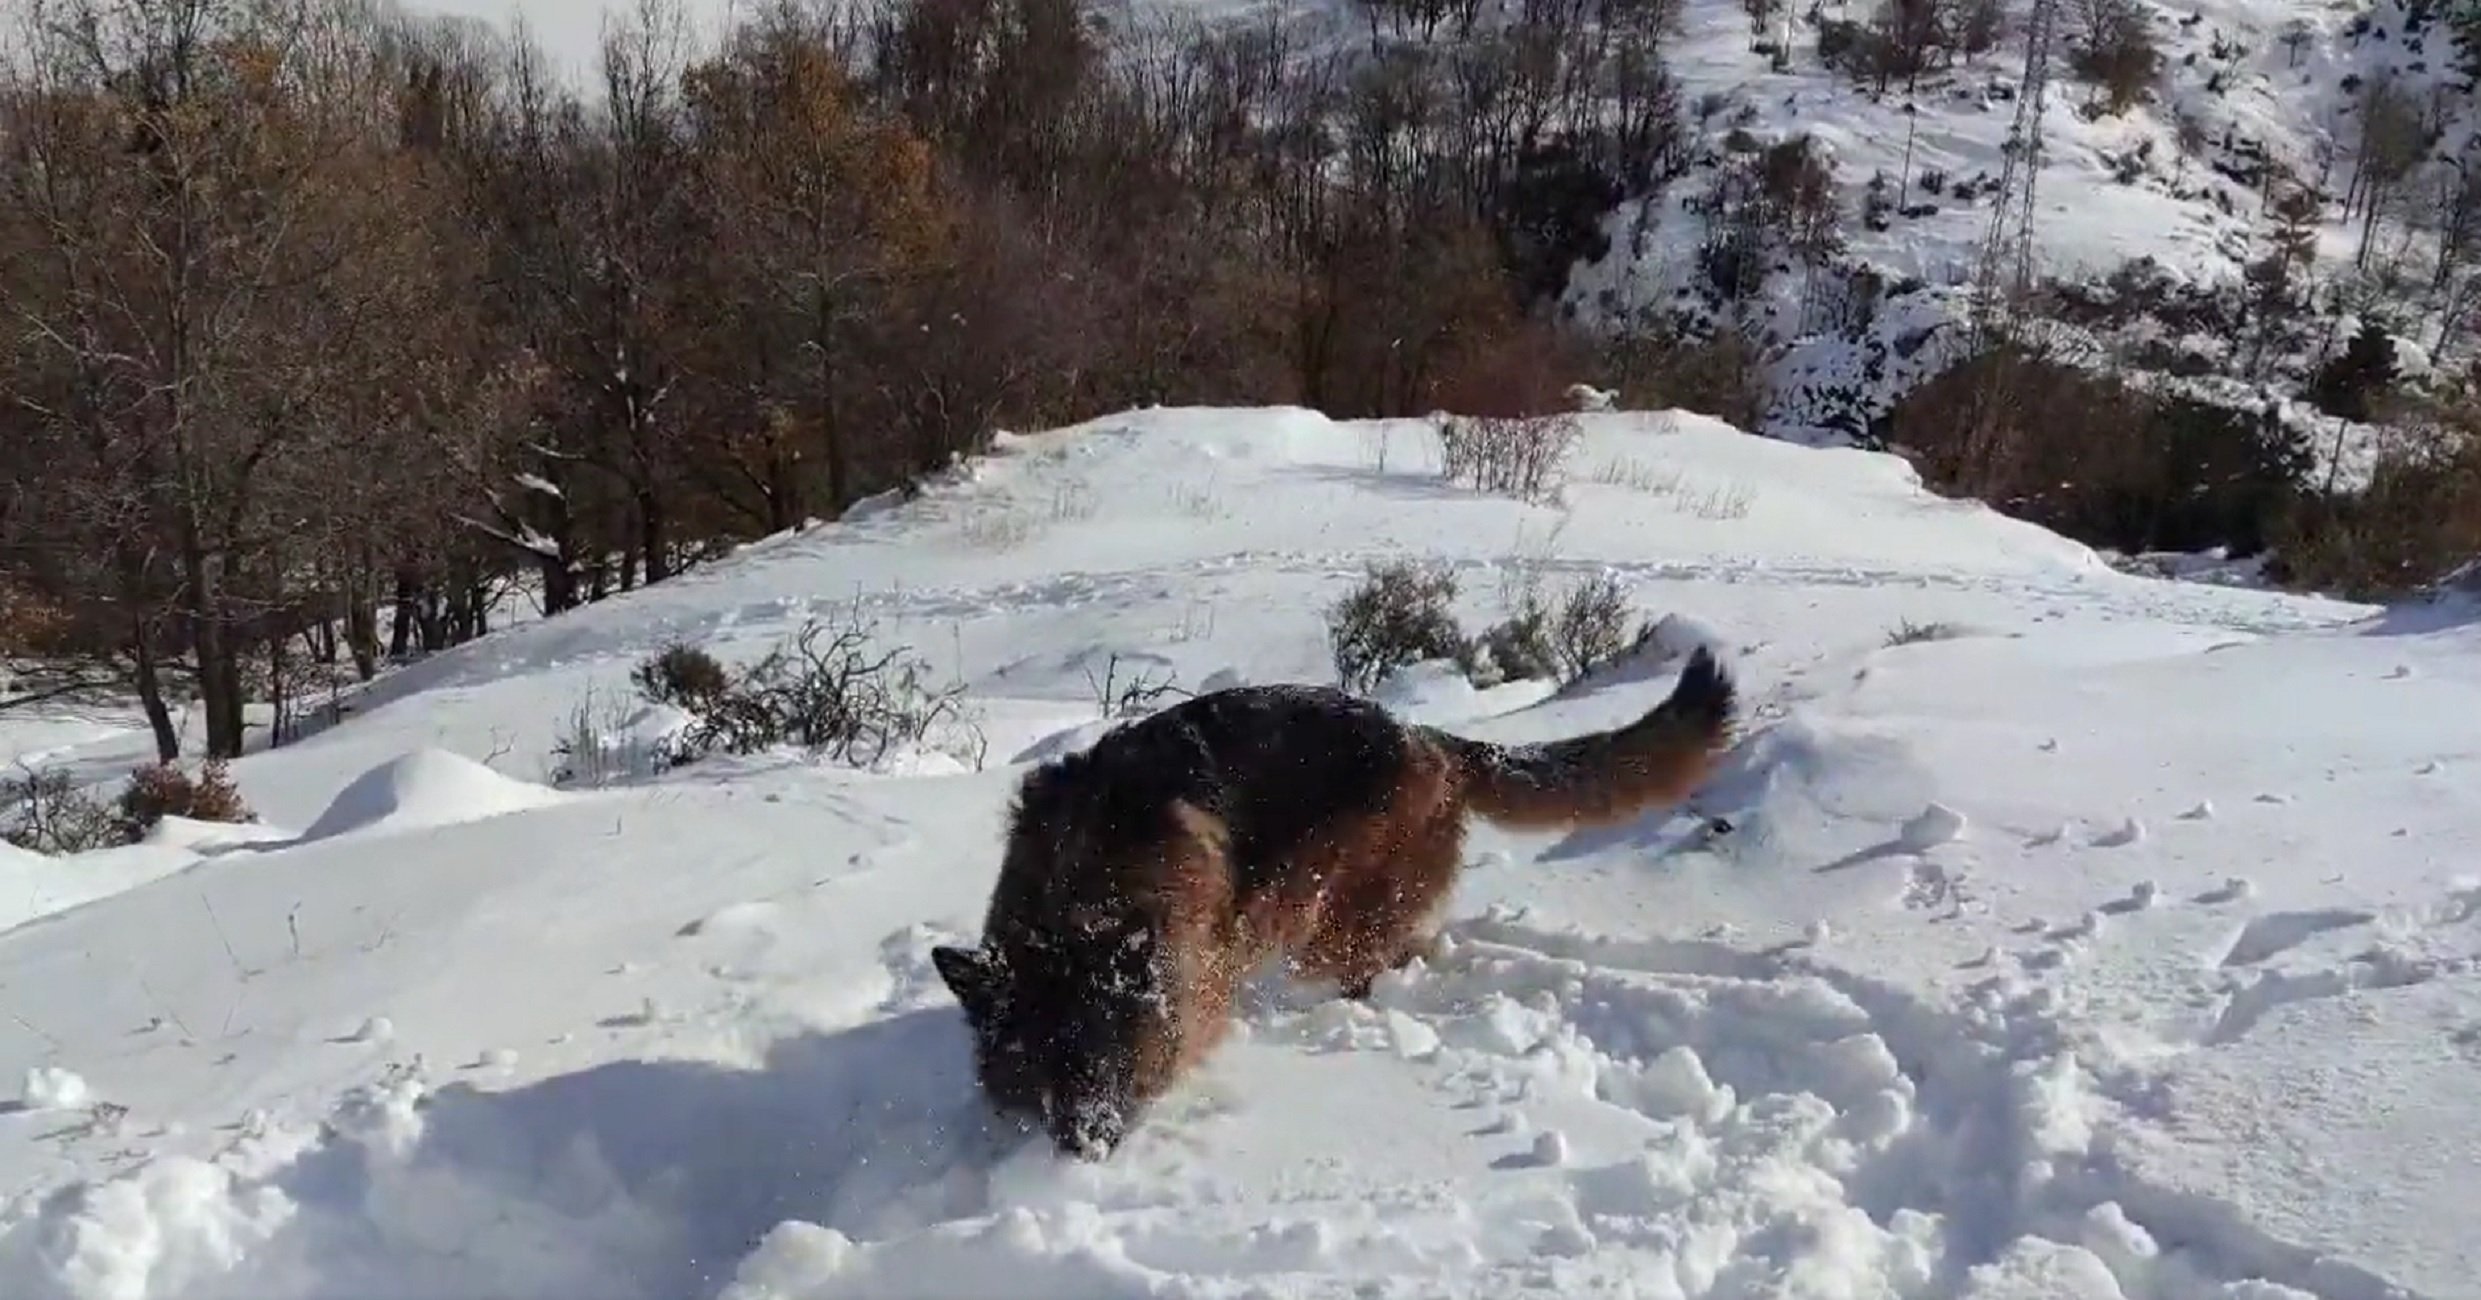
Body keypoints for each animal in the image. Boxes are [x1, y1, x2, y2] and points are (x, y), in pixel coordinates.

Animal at [927, 645, 1726, 1156]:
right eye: (1041, 1065)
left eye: (1109, 1056)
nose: (1085, 1149)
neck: (1075, 890)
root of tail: (1430, 739)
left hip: (1329, 917)